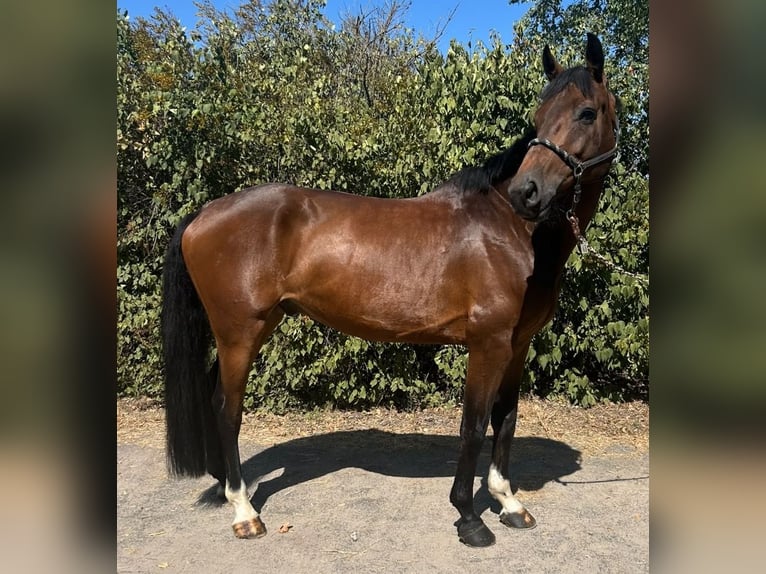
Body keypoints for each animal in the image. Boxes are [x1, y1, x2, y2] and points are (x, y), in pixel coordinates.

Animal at [160, 33, 620, 547]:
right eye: (538, 117)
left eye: (586, 112)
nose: (528, 192)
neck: (507, 229)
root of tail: (204, 213)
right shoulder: (487, 343)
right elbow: (474, 425)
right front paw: (469, 517)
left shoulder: (516, 344)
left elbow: (506, 419)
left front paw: (509, 503)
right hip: (240, 331)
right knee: (227, 409)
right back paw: (244, 511)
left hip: (243, 330)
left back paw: (225, 488)